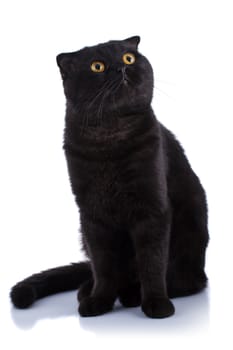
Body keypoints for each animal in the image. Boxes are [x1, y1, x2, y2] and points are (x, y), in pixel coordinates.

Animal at [10, 37, 208, 318]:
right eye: (97, 66)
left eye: (128, 58)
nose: (121, 68)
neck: (109, 139)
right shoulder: (92, 216)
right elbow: (103, 265)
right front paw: (99, 301)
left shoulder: (153, 210)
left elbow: (152, 262)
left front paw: (157, 304)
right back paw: (89, 291)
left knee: (184, 279)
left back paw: (132, 294)